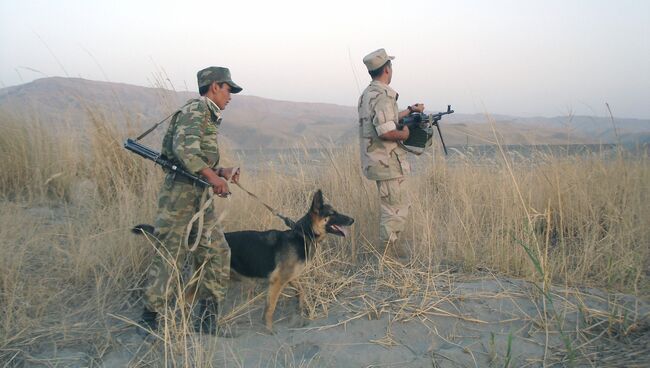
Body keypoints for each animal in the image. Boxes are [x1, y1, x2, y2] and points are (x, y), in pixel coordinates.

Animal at [134, 190, 352, 330]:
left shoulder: (289, 278)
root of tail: (199, 241)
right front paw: (269, 329)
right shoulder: (277, 281)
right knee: (183, 298)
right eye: (333, 214)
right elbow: (270, 308)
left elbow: (301, 290)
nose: (352, 220)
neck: (302, 234)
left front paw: (300, 307)